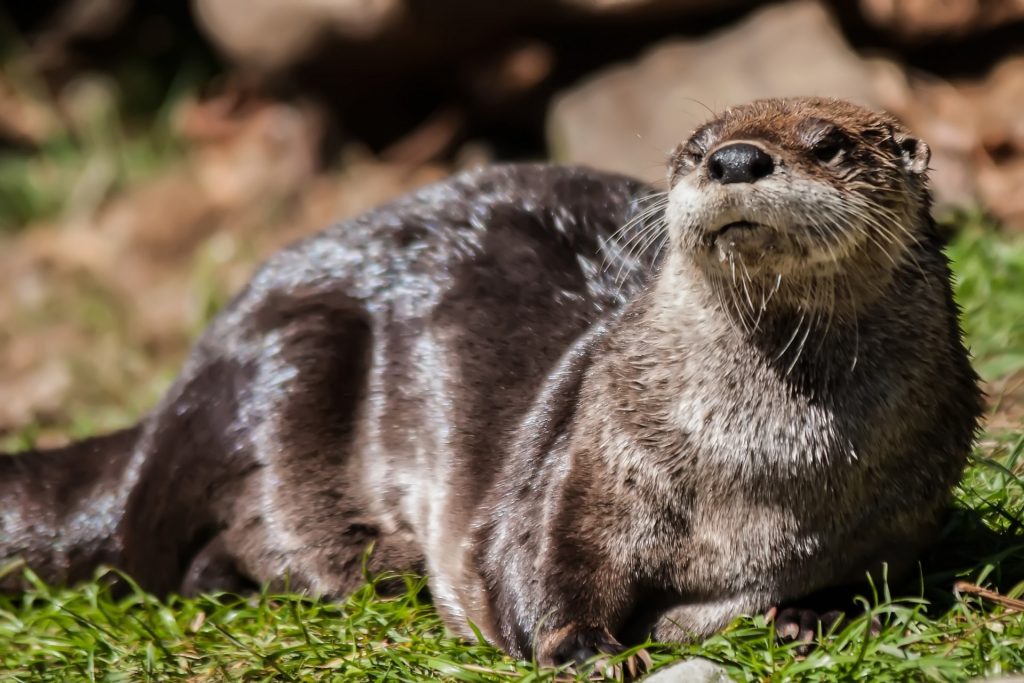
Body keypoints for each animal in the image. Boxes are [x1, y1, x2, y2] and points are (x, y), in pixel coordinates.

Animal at [0, 96, 978, 671]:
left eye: (829, 144)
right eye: (696, 148)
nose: (736, 158)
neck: (757, 466)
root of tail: (175, 396)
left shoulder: (901, 514)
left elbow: (866, 579)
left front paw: (806, 616)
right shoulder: (586, 457)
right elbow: (534, 564)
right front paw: (586, 649)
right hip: (284, 371)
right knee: (193, 561)